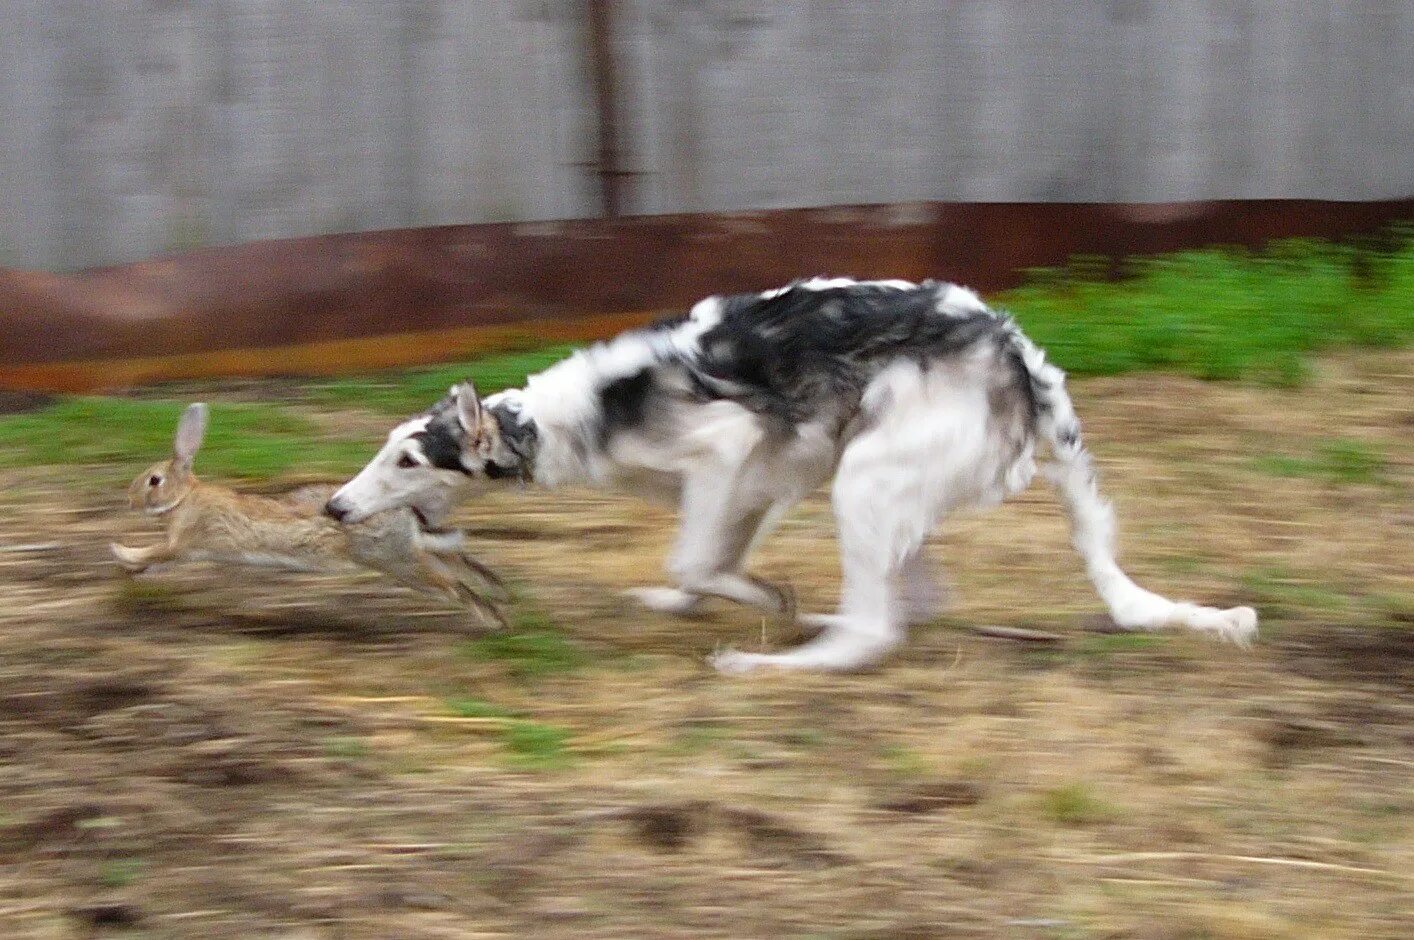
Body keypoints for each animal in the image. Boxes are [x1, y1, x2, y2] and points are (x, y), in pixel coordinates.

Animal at [110, 401, 509, 627]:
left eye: (154, 480)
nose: (129, 501)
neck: (185, 498)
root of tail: (407, 518)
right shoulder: (182, 551)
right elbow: (156, 563)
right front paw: (133, 572)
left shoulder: (184, 542)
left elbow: (155, 551)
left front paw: (120, 552)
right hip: (410, 554)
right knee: (462, 563)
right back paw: (501, 591)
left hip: (398, 562)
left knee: (454, 586)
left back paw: (495, 620)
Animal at [328, 275, 1261, 670]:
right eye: (387, 448)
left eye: (408, 458)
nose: (334, 507)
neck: (569, 415)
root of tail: (1020, 358)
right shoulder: (765, 478)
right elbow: (699, 567)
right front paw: (700, 601)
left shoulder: (729, 448)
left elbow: (697, 560)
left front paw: (762, 601)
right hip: (871, 474)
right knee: (910, 602)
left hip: (867, 478)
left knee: (873, 631)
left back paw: (772, 659)